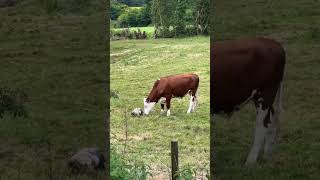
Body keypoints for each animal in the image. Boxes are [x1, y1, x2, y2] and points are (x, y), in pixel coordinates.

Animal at [211, 37, 286, 165]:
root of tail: (274, 43)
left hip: (265, 94)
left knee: (262, 125)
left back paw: (250, 162)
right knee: (271, 120)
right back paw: (266, 156)